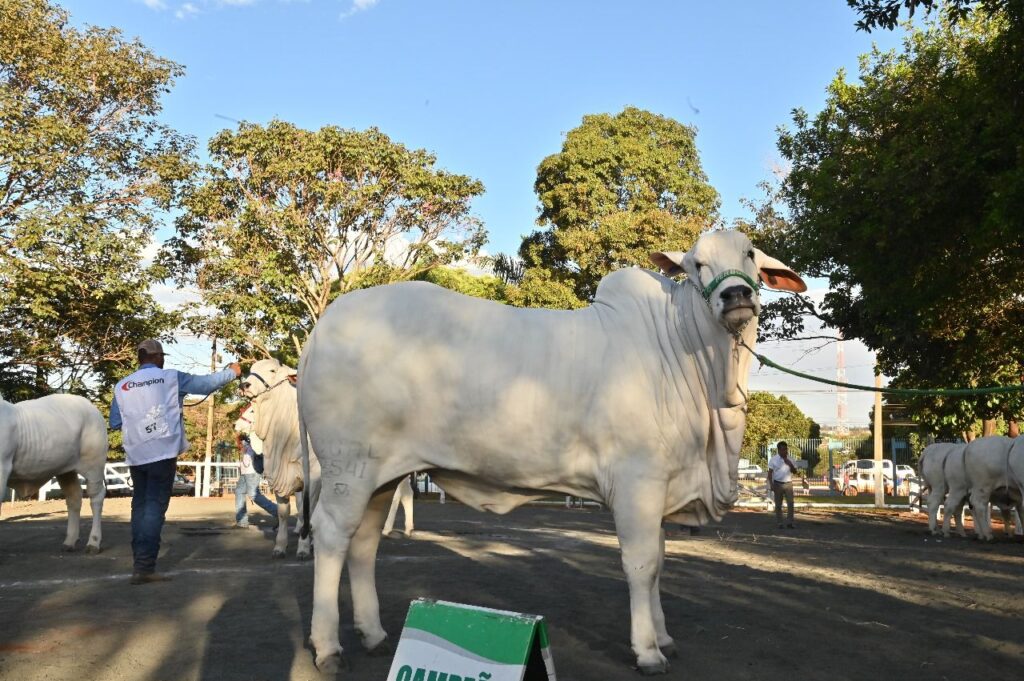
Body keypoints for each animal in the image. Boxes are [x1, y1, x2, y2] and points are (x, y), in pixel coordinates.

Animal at [0, 394, 108, 552]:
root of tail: (88, 405)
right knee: (74, 498)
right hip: (66, 470)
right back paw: (69, 541)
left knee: (96, 498)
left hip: (94, 465)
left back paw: (93, 543)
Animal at [238, 359, 317, 559]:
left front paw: (303, 548)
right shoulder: (281, 480)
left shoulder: (313, 479)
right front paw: (280, 547)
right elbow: (283, 513)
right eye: (251, 370)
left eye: (272, 370)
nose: (244, 385)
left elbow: (305, 512)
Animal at [295, 229, 806, 674]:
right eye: (697, 264)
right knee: (332, 536)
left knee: (363, 543)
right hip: (347, 469)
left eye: (749, 253)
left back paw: (374, 634)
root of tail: (322, 328)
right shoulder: (637, 481)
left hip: (381, 475)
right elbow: (642, 564)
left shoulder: (662, 486)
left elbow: (661, 561)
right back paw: (327, 648)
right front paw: (647, 651)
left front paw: (663, 637)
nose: (735, 296)